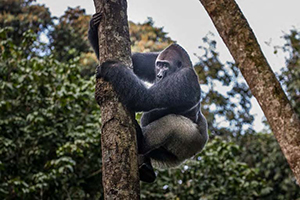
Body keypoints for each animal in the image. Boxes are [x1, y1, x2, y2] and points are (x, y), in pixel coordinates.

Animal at [88, 12, 207, 183]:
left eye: (166, 66)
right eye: (159, 65)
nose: (159, 75)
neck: (183, 66)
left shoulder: (185, 78)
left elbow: (145, 98)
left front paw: (111, 67)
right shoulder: (154, 58)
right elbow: (134, 61)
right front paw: (93, 27)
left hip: (190, 143)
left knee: (172, 122)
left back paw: (142, 142)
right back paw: (147, 168)